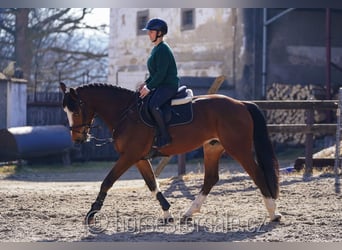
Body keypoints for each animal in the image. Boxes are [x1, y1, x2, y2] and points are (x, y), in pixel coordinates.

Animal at [58, 81, 282, 225]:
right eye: (65, 111)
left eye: (75, 110)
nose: (77, 139)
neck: (126, 113)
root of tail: (241, 104)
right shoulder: (138, 158)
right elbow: (152, 184)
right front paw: (167, 213)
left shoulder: (129, 156)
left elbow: (107, 181)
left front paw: (91, 213)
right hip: (212, 147)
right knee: (210, 178)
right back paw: (189, 213)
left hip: (238, 148)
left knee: (257, 174)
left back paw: (273, 213)